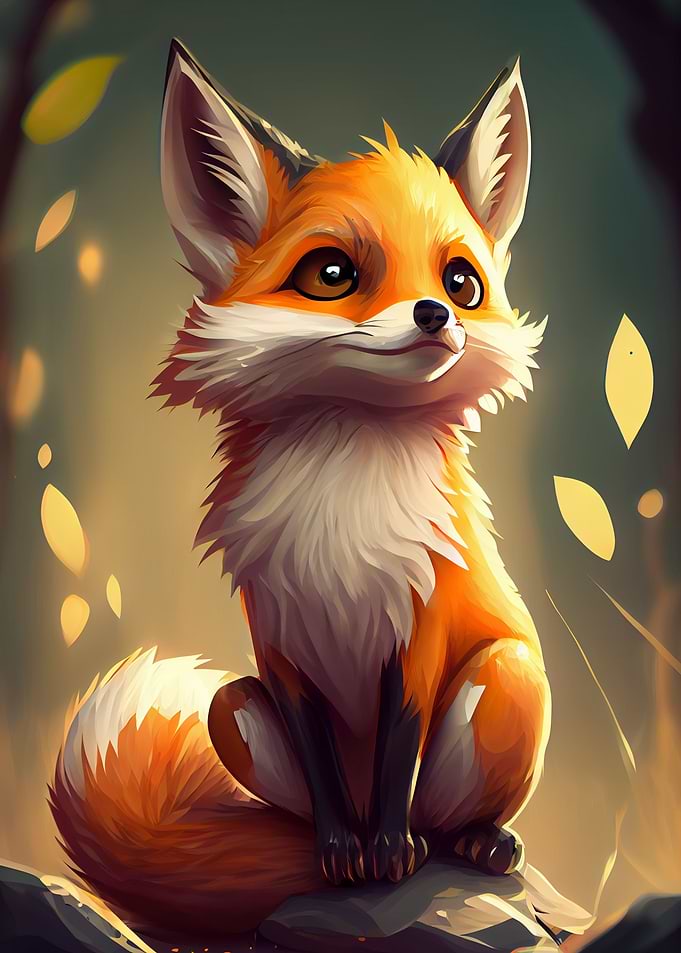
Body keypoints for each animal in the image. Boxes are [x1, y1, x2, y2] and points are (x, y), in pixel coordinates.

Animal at [50, 40, 551, 941]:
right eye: (331, 272)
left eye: (461, 283)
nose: (435, 316)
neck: (340, 516)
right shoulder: (278, 639)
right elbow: (319, 760)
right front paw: (340, 854)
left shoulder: (421, 628)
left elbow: (398, 751)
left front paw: (385, 851)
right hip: (230, 706)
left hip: (505, 672)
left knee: (444, 819)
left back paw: (473, 841)